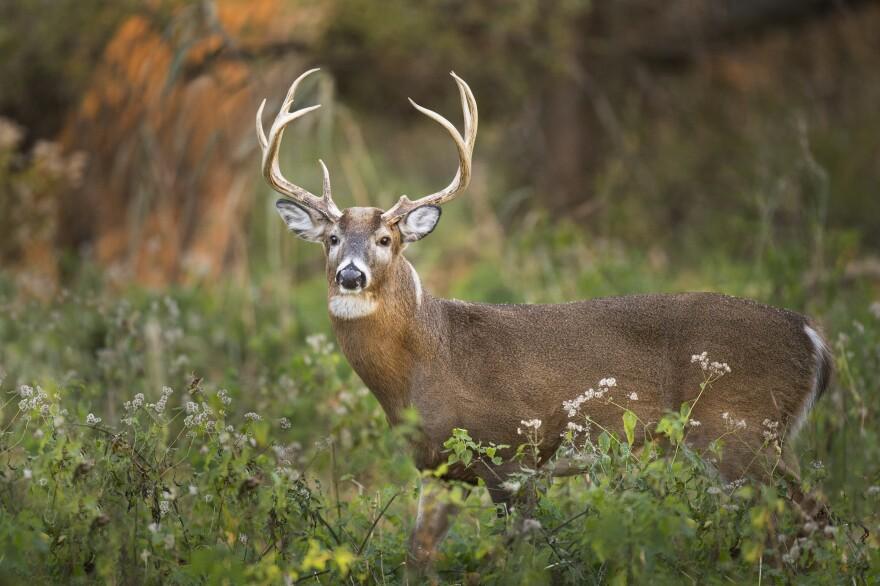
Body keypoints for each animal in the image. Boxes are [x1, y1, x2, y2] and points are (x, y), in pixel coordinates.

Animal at [253, 67, 832, 572]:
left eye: (385, 239)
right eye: (331, 238)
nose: (350, 275)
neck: (428, 359)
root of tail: (811, 335)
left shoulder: (514, 452)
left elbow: (521, 553)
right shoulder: (438, 467)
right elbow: (417, 557)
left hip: (737, 429)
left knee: (803, 516)